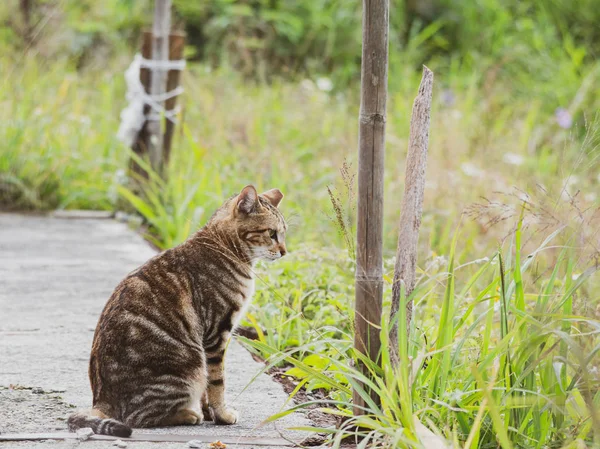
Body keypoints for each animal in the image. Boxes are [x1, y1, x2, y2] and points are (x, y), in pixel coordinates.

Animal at [67, 184, 288, 436]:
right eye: (271, 233)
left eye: (284, 233)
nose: (284, 251)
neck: (222, 246)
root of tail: (100, 401)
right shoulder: (217, 333)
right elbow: (217, 382)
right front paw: (221, 414)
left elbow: (208, 388)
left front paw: (210, 412)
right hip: (189, 366)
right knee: (138, 417)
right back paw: (187, 414)